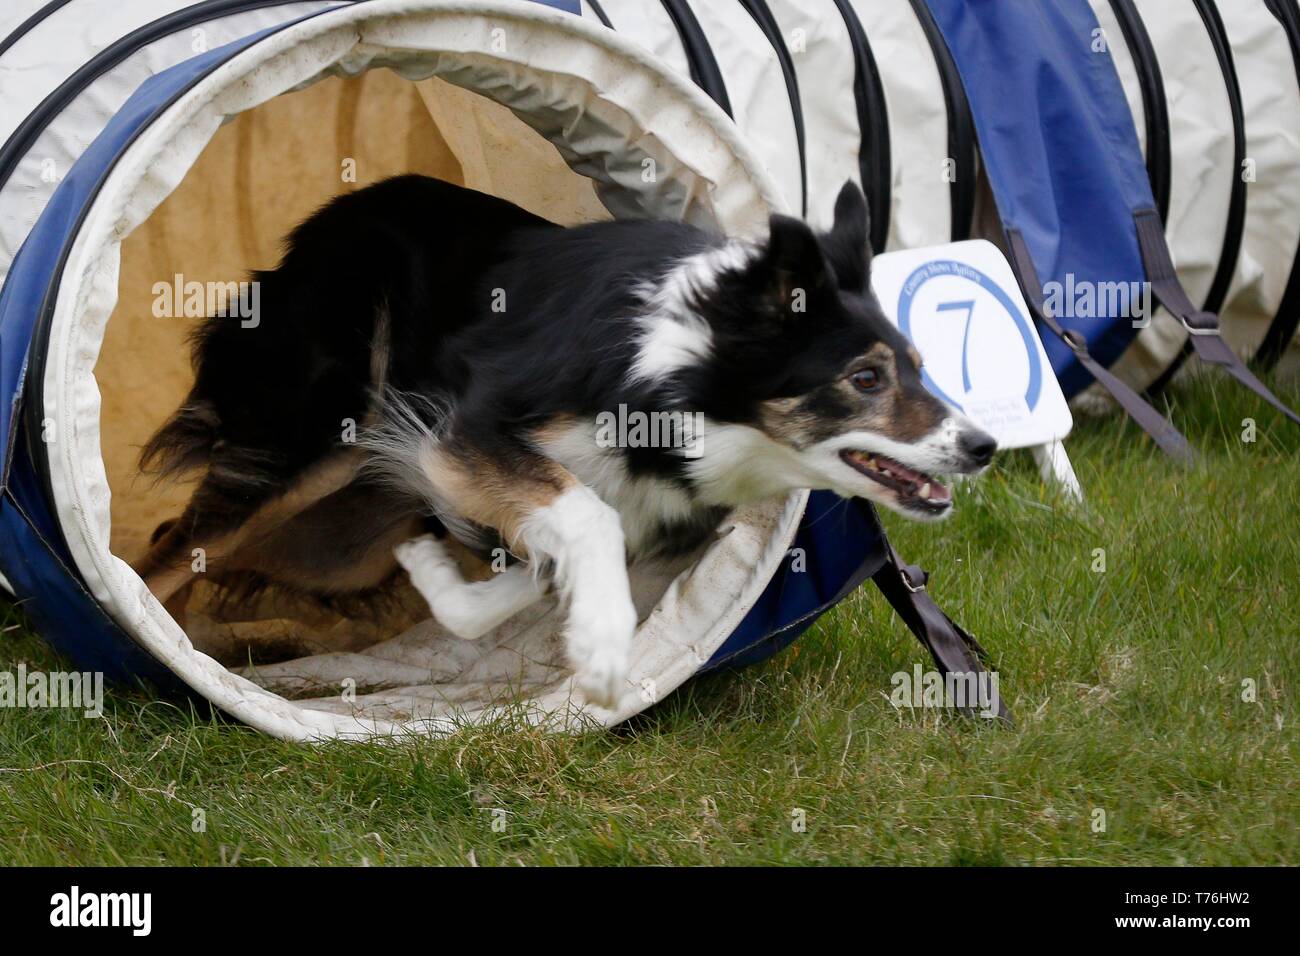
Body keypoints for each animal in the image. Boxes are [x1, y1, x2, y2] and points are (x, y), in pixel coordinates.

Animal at [139, 175, 993, 707]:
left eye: (920, 368)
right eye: (866, 378)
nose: (982, 446)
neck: (683, 376)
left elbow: (523, 578)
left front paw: (473, 597)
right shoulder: (472, 432)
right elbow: (588, 515)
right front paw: (608, 653)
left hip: (341, 540)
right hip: (319, 442)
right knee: (168, 555)